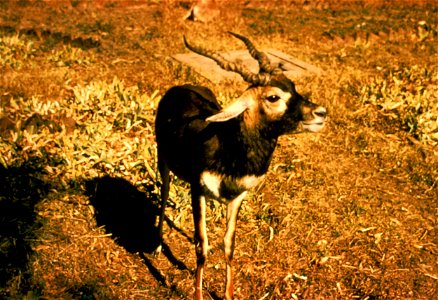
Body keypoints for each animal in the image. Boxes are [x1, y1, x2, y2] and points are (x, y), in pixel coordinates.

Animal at [154, 31, 326, 298]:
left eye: (293, 87)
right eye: (273, 97)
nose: (320, 113)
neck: (230, 150)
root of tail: (181, 87)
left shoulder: (237, 197)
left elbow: (228, 245)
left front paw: (228, 293)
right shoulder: (197, 191)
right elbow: (202, 246)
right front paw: (198, 293)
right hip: (163, 161)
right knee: (163, 194)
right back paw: (157, 246)